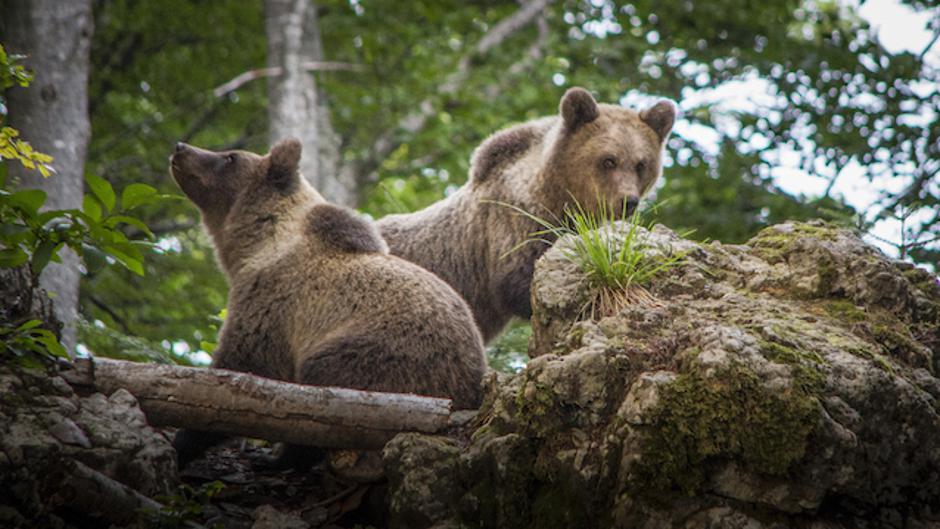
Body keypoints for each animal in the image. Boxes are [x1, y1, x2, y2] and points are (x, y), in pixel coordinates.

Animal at [170, 138, 488, 464]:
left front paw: (186, 439)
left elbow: (244, 366)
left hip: (385, 354)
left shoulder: (272, 301)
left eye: (230, 157)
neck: (257, 244)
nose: (180, 147)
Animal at [374, 87, 676, 338]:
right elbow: (521, 281)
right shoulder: (514, 223)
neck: (555, 195)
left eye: (641, 164)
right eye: (609, 160)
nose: (628, 201)